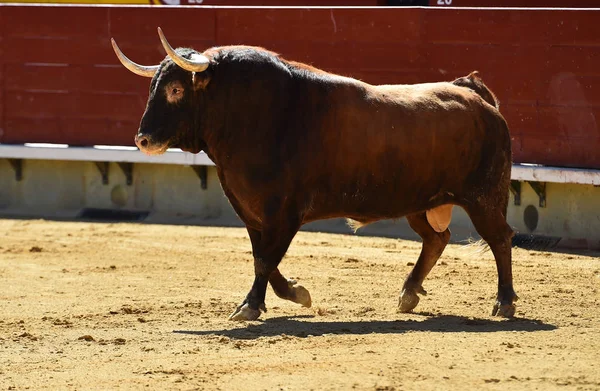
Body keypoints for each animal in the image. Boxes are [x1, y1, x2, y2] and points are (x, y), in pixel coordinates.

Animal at [111, 27, 516, 322]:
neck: (251, 115)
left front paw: (250, 306)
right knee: (436, 239)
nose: (143, 139)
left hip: (483, 198)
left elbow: (265, 259)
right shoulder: (250, 211)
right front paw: (294, 293)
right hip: (420, 201)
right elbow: (262, 257)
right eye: (153, 88)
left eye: (176, 89)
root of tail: (476, 97)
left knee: (500, 238)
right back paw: (408, 294)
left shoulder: (284, 212)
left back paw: (505, 302)